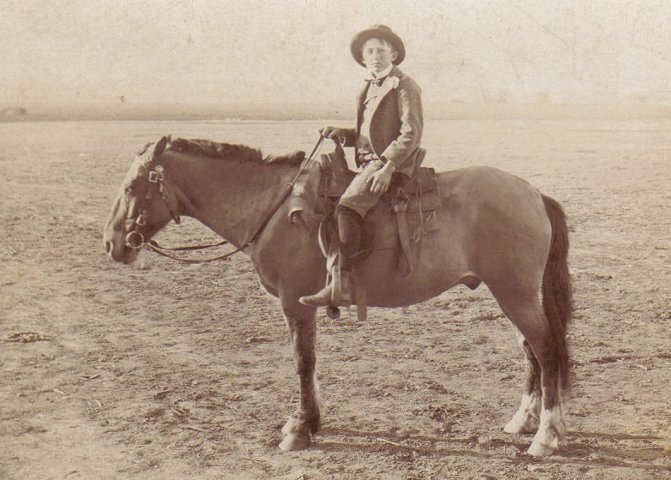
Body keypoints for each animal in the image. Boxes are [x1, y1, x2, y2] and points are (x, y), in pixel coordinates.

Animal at [103, 136, 572, 458]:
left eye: (133, 186)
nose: (112, 244)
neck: (276, 209)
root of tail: (533, 194)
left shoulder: (294, 303)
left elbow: (303, 362)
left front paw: (300, 428)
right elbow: (307, 363)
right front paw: (309, 422)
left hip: (515, 293)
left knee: (547, 349)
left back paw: (546, 436)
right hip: (510, 294)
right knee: (530, 351)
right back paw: (522, 421)